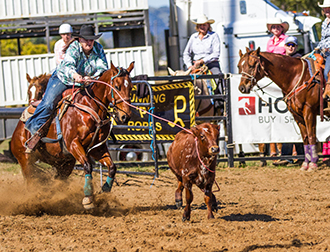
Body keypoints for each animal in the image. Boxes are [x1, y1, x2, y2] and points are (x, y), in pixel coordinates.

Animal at [10, 62, 134, 208]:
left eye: (131, 87)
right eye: (117, 87)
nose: (125, 116)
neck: (90, 108)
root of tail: (18, 130)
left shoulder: (98, 148)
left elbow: (112, 167)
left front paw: (105, 191)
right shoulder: (73, 144)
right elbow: (87, 166)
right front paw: (88, 198)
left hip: (64, 163)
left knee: (56, 180)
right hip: (25, 161)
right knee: (31, 181)